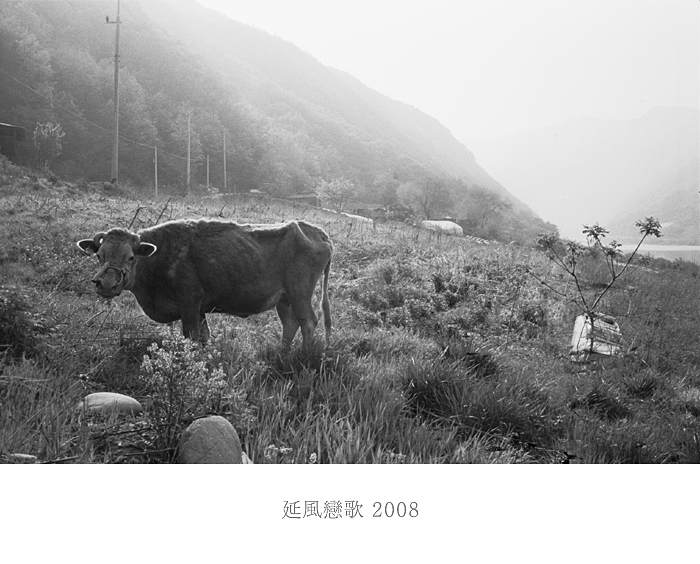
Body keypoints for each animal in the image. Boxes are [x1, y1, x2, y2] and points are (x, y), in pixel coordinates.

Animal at [77, 219, 332, 349]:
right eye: (99, 254)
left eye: (131, 257)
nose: (106, 284)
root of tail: (319, 232)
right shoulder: (199, 310)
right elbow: (204, 337)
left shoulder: (189, 303)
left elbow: (191, 336)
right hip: (284, 299)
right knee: (291, 324)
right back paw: (283, 354)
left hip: (299, 294)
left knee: (308, 322)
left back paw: (303, 357)